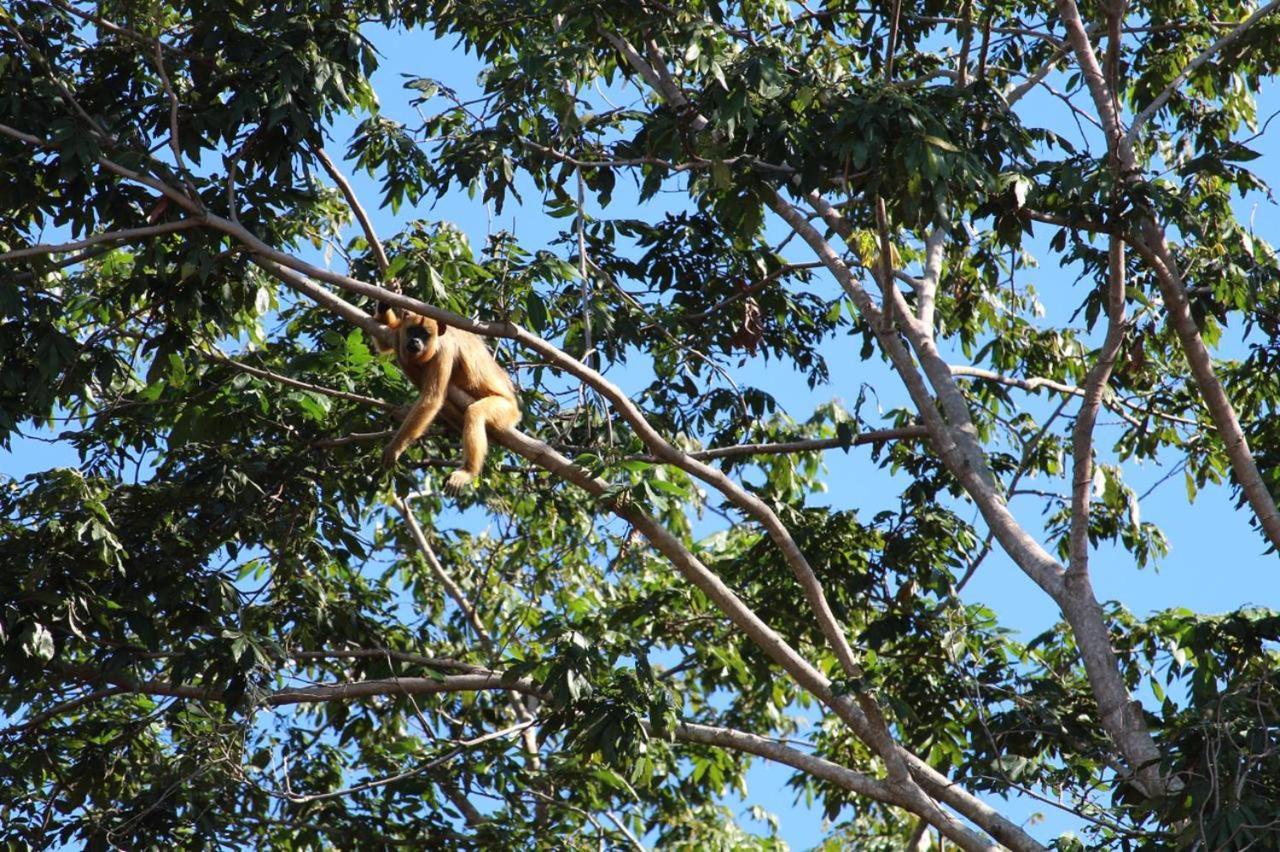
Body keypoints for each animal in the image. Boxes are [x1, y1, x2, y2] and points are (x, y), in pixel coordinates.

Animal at [373, 303, 519, 491]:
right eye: (412, 330)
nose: (415, 341)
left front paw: (395, 448)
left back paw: (468, 472)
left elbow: (432, 398)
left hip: (507, 410)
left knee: (476, 412)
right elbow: (385, 342)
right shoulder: (399, 333)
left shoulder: (444, 350)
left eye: (425, 334)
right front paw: (384, 306)